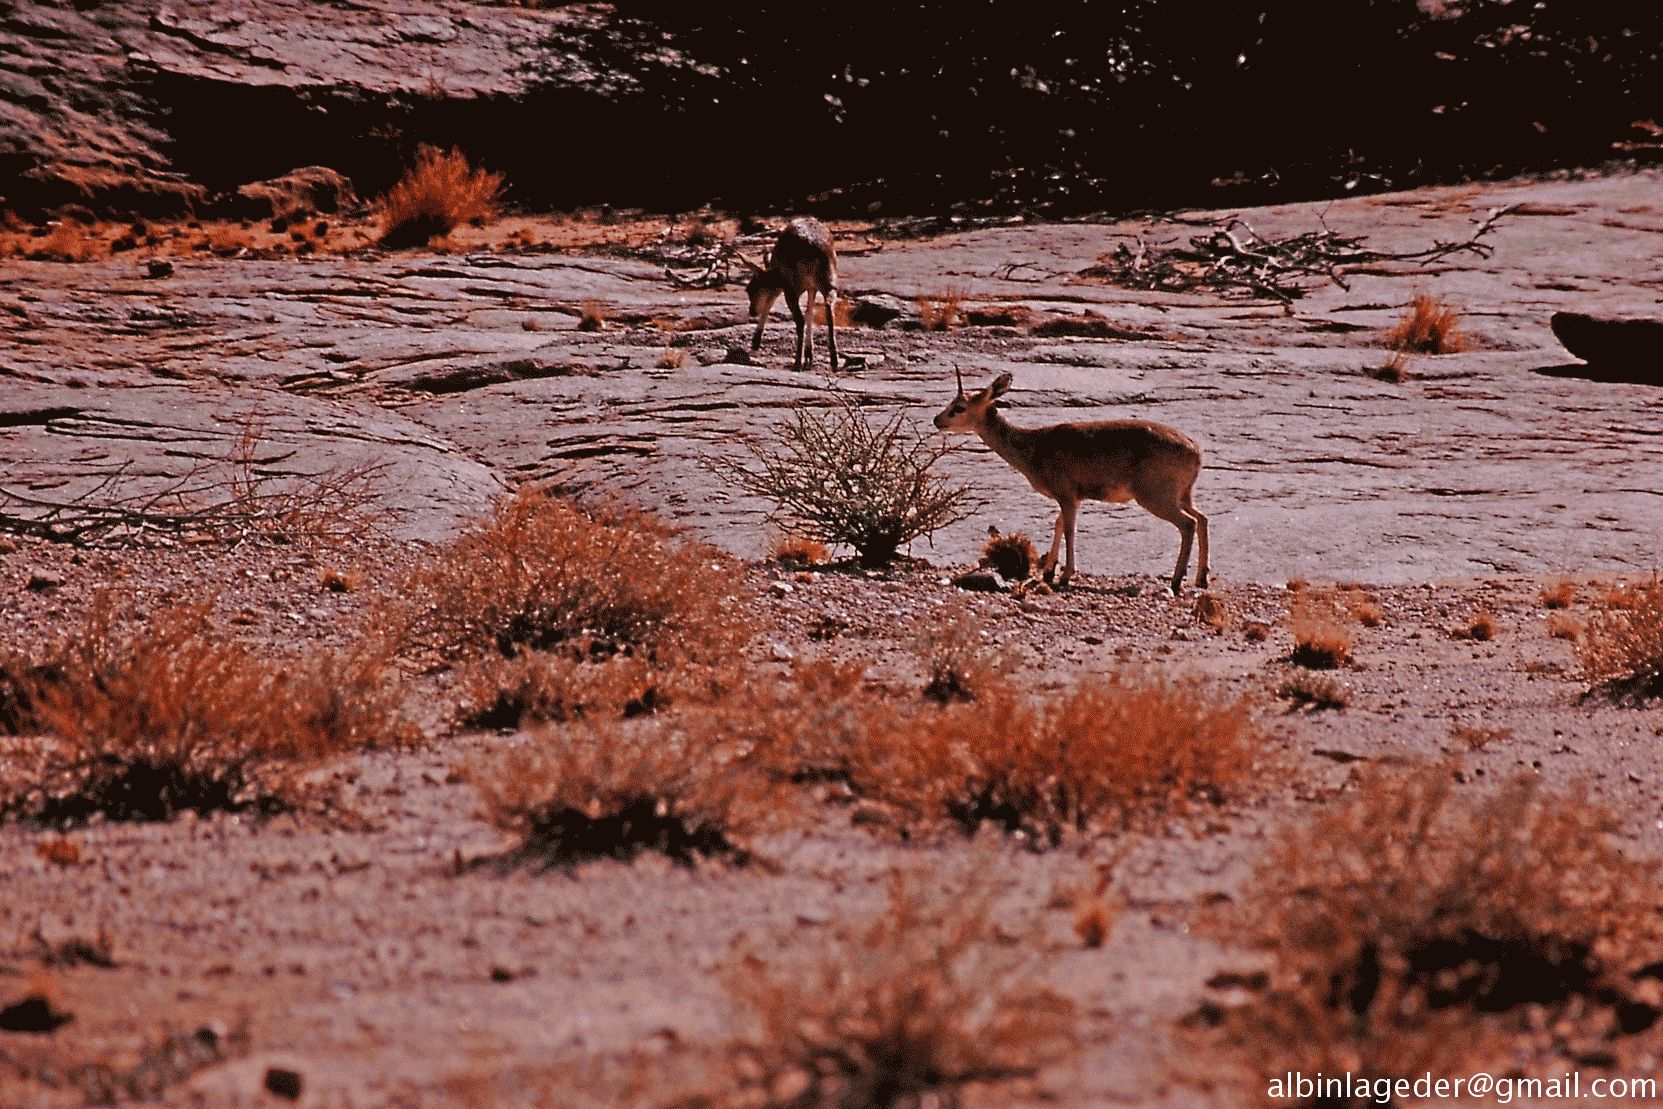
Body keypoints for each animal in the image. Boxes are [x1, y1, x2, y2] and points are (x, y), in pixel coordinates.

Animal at [745, 218, 840, 371]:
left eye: (750, 289)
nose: (751, 311)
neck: (775, 273)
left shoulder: (785, 285)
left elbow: (771, 301)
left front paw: (755, 342)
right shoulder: (811, 287)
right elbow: (810, 312)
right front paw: (809, 355)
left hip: (793, 286)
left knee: (800, 319)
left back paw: (797, 362)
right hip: (830, 279)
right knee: (829, 307)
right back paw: (834, 360)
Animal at [934, 369, 1209, 595]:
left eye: (959, 406)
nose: (937, 420)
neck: (1034, 448)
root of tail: (1195, 451)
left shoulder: (1066, 495)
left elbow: (1068, 529)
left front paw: (1064, 576)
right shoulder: (1071, 498)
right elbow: (1058, 525)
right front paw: (1048, 572)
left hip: (1154, 496)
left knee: (1189, 523)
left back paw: (1176, 582)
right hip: (1182, 495)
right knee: (1203, 519)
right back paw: (1201, 579)